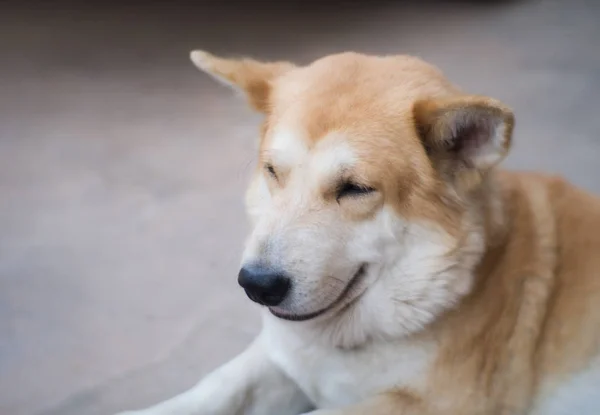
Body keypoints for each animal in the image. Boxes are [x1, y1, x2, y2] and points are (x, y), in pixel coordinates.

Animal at [117, 52, 600, 415]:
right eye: (273, 171)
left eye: (355, 189)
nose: (256, 285)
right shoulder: (281, 357)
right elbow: (216, 387)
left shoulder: (437, 404)